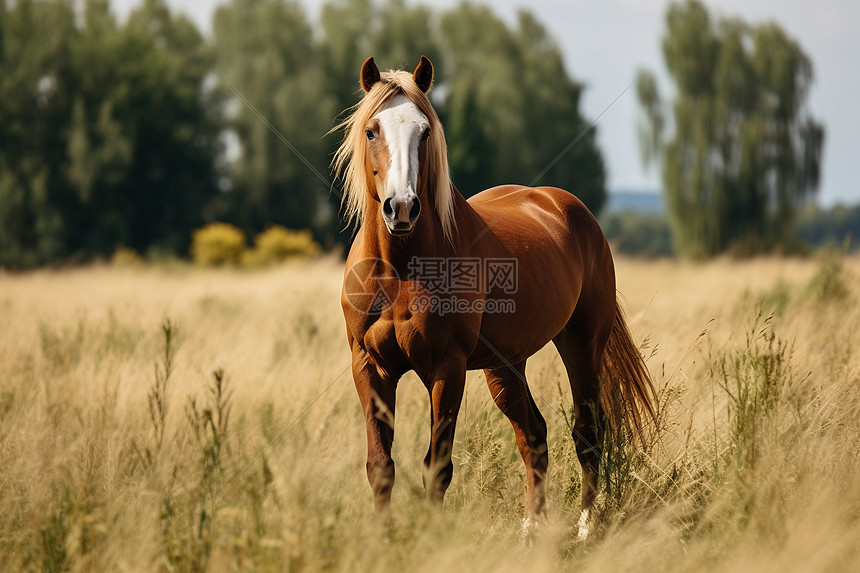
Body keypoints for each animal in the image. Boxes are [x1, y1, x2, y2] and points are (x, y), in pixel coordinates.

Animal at [334, 54, 652, 536]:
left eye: (424, 131)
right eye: (372, 130)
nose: (402, 208)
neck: (400, 268)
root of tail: (567, 207)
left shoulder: (447, 368)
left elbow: (437, 467)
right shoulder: (370, 367)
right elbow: (380, 466)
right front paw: (384, 540)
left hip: (582, 345)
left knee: (587, 435)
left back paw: (584, 528)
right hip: (506, 366)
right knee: (534, 437)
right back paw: (531, 530)